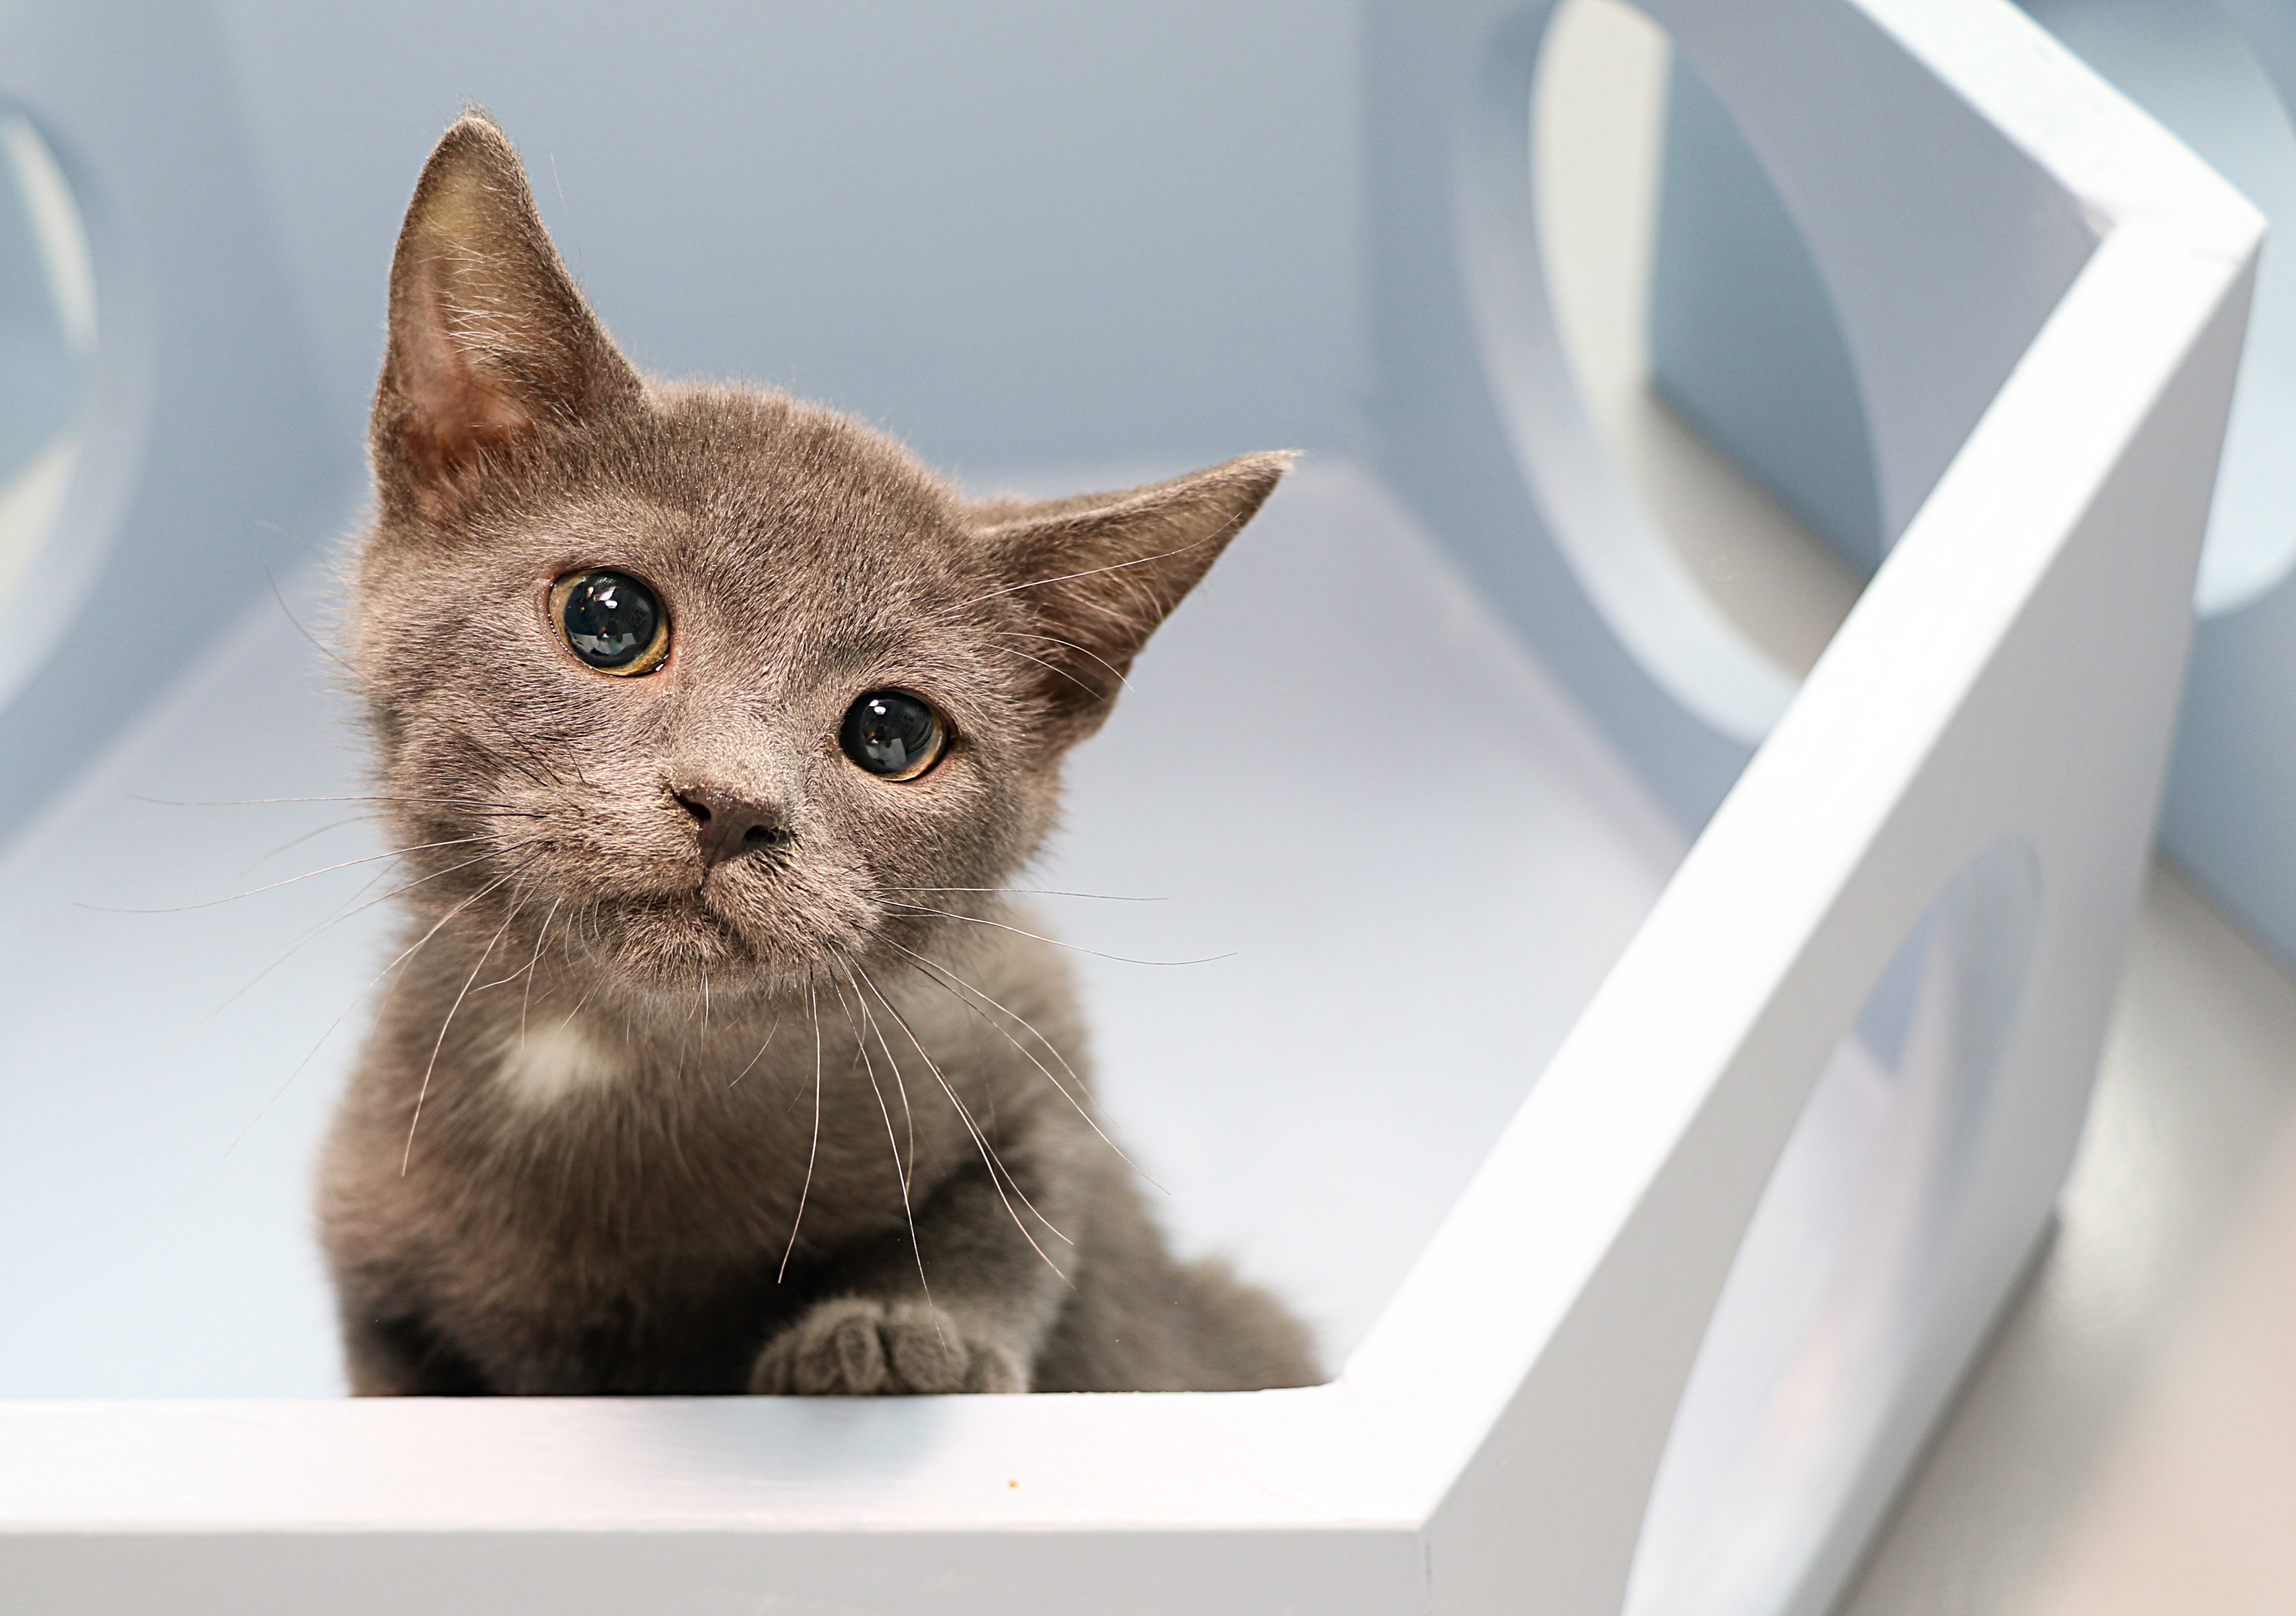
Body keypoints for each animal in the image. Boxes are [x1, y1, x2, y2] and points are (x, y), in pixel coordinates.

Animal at [312, 117, 1313, 1404]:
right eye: (607, 619)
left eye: (892, 734)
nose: (733, 804)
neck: (609, 1056)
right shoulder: (367, 1250)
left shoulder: (1025, 1017)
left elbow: (1025, 1197)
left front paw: (893, 1334)